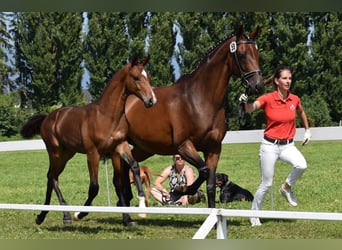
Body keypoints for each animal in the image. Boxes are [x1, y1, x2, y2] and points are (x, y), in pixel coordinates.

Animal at [20, 55, 156, 226]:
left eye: (148, 77)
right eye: (136, 77)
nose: (151, 100)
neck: (106, 116)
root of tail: (47, 118)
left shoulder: (118, 148)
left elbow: (129, 172)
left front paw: (133, 212)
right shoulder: (93, 153)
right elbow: (94, 187)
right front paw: (80, 214)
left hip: (67, 154)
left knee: (51, 177)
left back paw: (42, 216)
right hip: (55, 152)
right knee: (52, 177)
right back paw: (65, 215)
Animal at [113, 25, 264, 225]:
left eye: (257, 52)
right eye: (241, 54)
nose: (258, 85)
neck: (199, 100)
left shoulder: (214, 148)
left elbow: (210, 183)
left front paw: (213, 219)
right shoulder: (184, 146)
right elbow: (204, 171)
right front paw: (181, 190)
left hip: (144, 148)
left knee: (126, 169)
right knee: (118, 178)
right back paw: (126, 216)